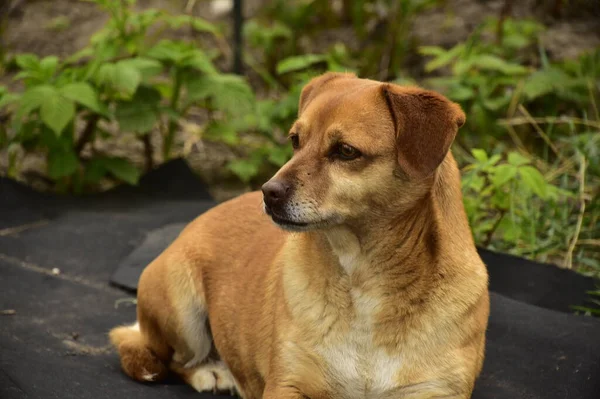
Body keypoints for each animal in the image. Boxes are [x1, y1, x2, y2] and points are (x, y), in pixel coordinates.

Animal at [111, 72, 488, 399]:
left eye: (346, 151)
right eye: (295, 140)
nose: (268, 192)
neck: (364, 278)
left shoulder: (438, 390)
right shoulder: (287, 384)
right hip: (181, 307)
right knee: (174, 361)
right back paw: (212, 371)